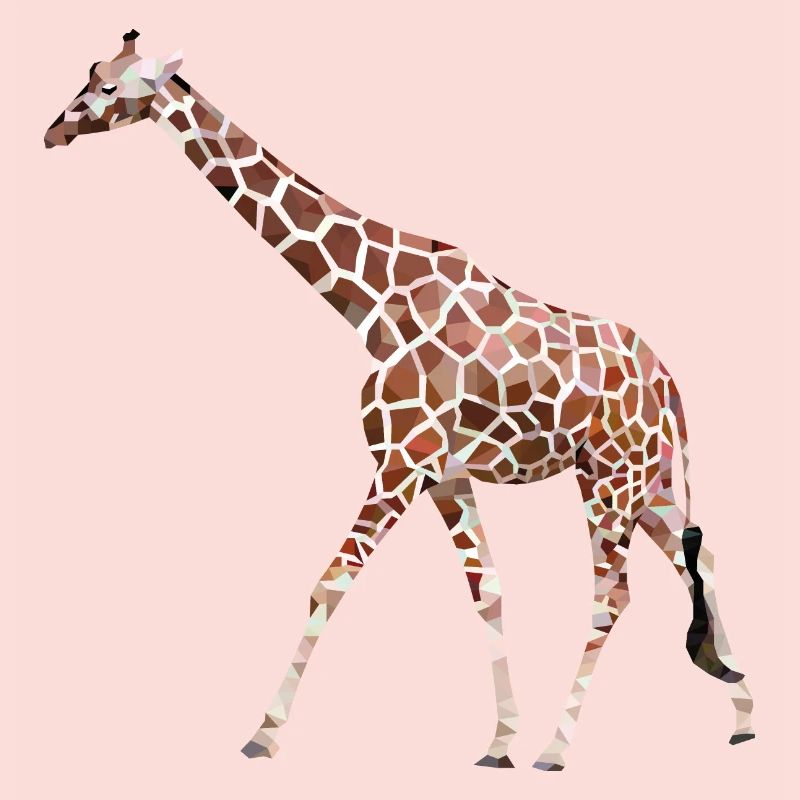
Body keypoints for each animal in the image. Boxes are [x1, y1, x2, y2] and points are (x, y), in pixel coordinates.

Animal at [44, 31, 755, 771]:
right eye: (89, 72)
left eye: (111, 87)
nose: (51, 131)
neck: (376, 302)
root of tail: (669, 382)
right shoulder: (444, 475)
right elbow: (487, 594)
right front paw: (499, 742)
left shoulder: (399, 463)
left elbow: (328, 581)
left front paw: (263, 734)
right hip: (644, 480)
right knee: (698, 562)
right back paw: (743, 717)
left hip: (613, 479)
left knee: (611, 595)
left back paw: (559, 749)